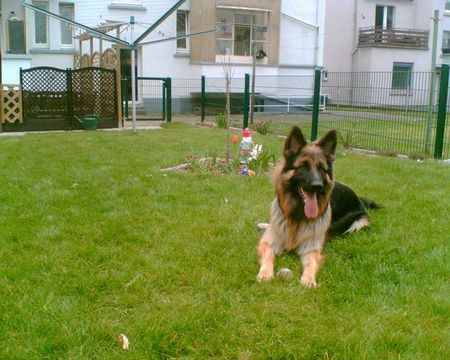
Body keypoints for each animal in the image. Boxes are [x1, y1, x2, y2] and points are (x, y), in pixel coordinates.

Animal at [256, 126, 380, 286]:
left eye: (321, 168)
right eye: (303, 167)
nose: (317, 186)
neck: (297, 217)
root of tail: (358, 198)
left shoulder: (311, 248)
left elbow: (311, 263)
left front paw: (308, 279)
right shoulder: (269, 242)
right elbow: (268, 256)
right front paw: (265, 273)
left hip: (357, 224)